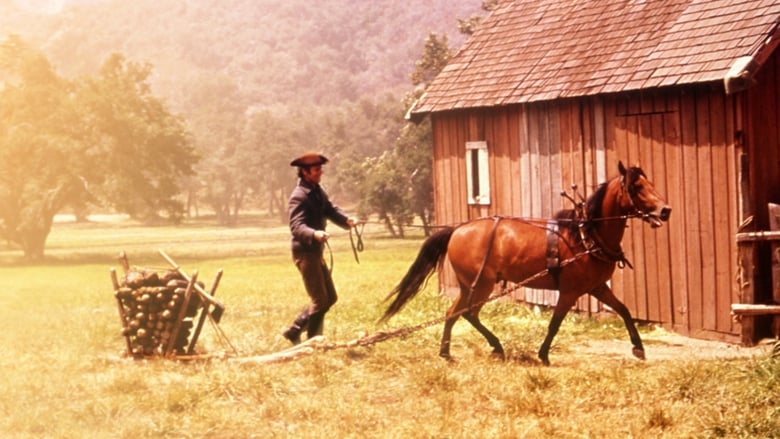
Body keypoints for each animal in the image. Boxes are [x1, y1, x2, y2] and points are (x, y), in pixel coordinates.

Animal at [380, 162, 671, 365]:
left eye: (650, 183)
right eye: (637, 187)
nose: (665, 210)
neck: (585, 234)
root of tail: (457, 229)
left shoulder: (597, 287)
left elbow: (624, 310)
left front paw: (638, 348)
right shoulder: (570, 291)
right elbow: (555, 323)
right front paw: (543, 354)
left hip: (469, 285)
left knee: (453, 313)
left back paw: (446, 353)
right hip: (482, 285)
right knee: (469, 313)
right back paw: (495, 346)